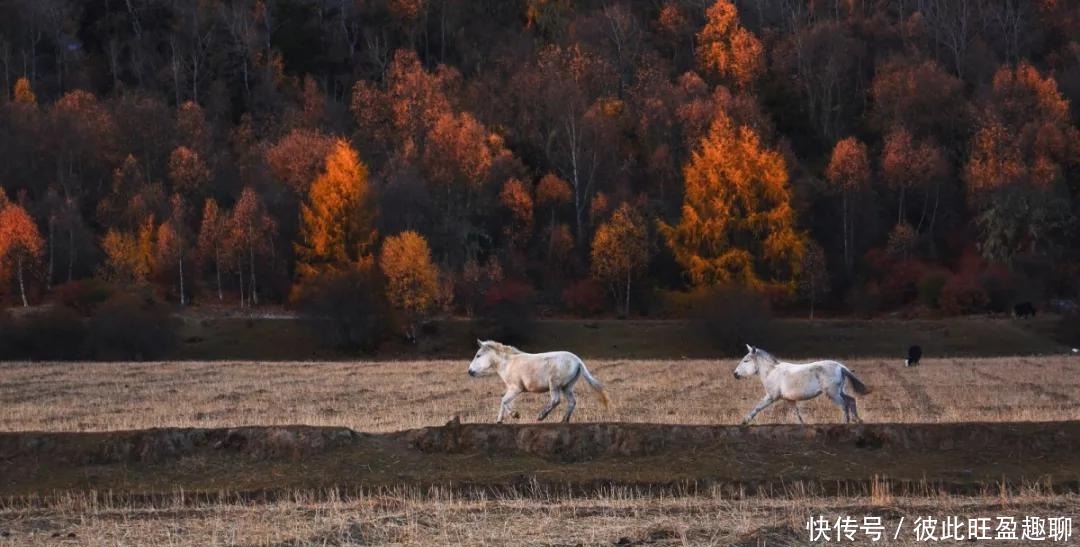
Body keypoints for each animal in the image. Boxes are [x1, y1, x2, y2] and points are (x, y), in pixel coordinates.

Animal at [468, 339, 613, 425]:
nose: (470, 371)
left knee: (556, 400)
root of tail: (578, 360)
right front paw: (499, 421)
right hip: (567, 387)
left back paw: (541, 416)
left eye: (478, 355)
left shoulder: (516, 388)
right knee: (572, 402)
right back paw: (563, 421)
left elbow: (504, 401)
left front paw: (515, 415)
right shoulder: (511, 389)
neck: (508, 363)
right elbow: (504, 402)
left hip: (554, 384)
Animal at [730, 343, 872, 425]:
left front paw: (744, 421)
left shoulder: (771, 396)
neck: (771, 372)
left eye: (746, 360)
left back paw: (846, 424)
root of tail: (840, 366)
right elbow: (797, 415)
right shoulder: (790, 400)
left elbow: (757, 408)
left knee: (844, 406)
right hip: (839, 391)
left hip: (833, 393)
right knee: (851, 400)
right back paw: (858, 420)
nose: (735, 374)